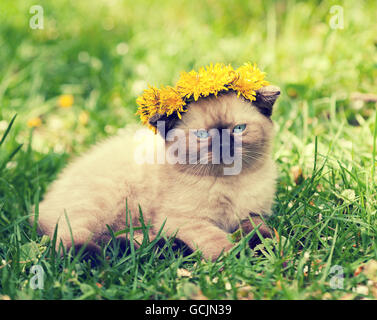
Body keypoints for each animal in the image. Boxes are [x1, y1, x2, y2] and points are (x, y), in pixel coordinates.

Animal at [33, 85, 280, 260]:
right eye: (201, 135)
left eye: (239, 129)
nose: (223, 144)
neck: (230, 182)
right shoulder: (186, 220)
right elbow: (219, 241)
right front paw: (239, 258)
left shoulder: (252, 213)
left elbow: (259, 230)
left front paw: (265, 248)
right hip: (100, 202)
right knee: (68, 239)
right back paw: (92, 259)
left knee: (115, 238)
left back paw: (165, 247)